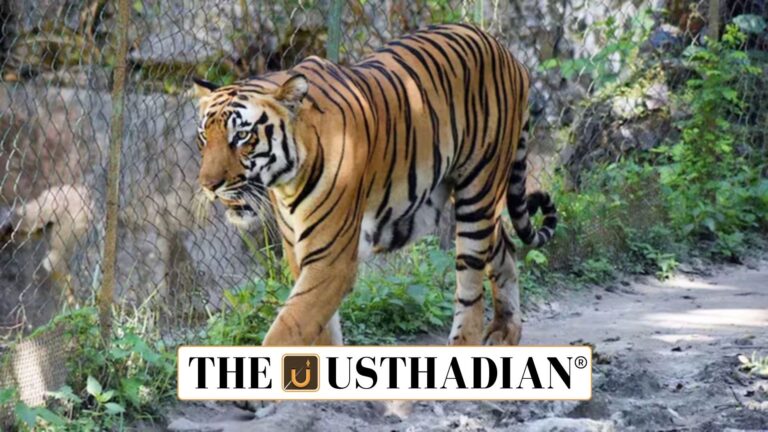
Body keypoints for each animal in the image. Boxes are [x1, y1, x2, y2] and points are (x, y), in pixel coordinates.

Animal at [192, 23, 557, 347]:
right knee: (504, 246)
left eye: (242, 136)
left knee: (470, 288)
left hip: (478, 190)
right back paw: (505, 331)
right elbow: (320, 330)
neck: (286, 182)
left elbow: (287, 329)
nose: (208, 185)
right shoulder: (298, 251)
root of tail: (509, 54)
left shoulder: (331, 259)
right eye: (204, 137)